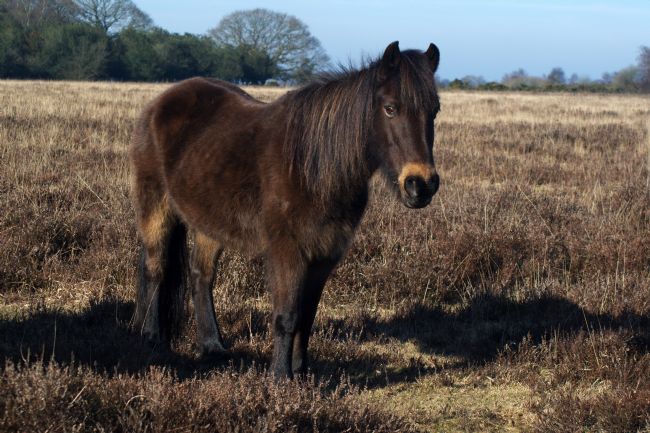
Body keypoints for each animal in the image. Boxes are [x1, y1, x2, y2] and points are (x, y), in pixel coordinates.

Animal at [129, 41, 441, 379]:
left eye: (434, 110)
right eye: (390, 108)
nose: (420, 185)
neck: (314, 167)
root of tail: (161, 102)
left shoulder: (324, 256)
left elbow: (306, 319)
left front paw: (302, 375)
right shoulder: (287, 251)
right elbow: (287, 315)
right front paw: (280, 378)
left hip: (207, 223)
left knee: (201, 276)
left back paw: (212, 347)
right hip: (156, 207)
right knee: (156, 269)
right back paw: (151, 339)